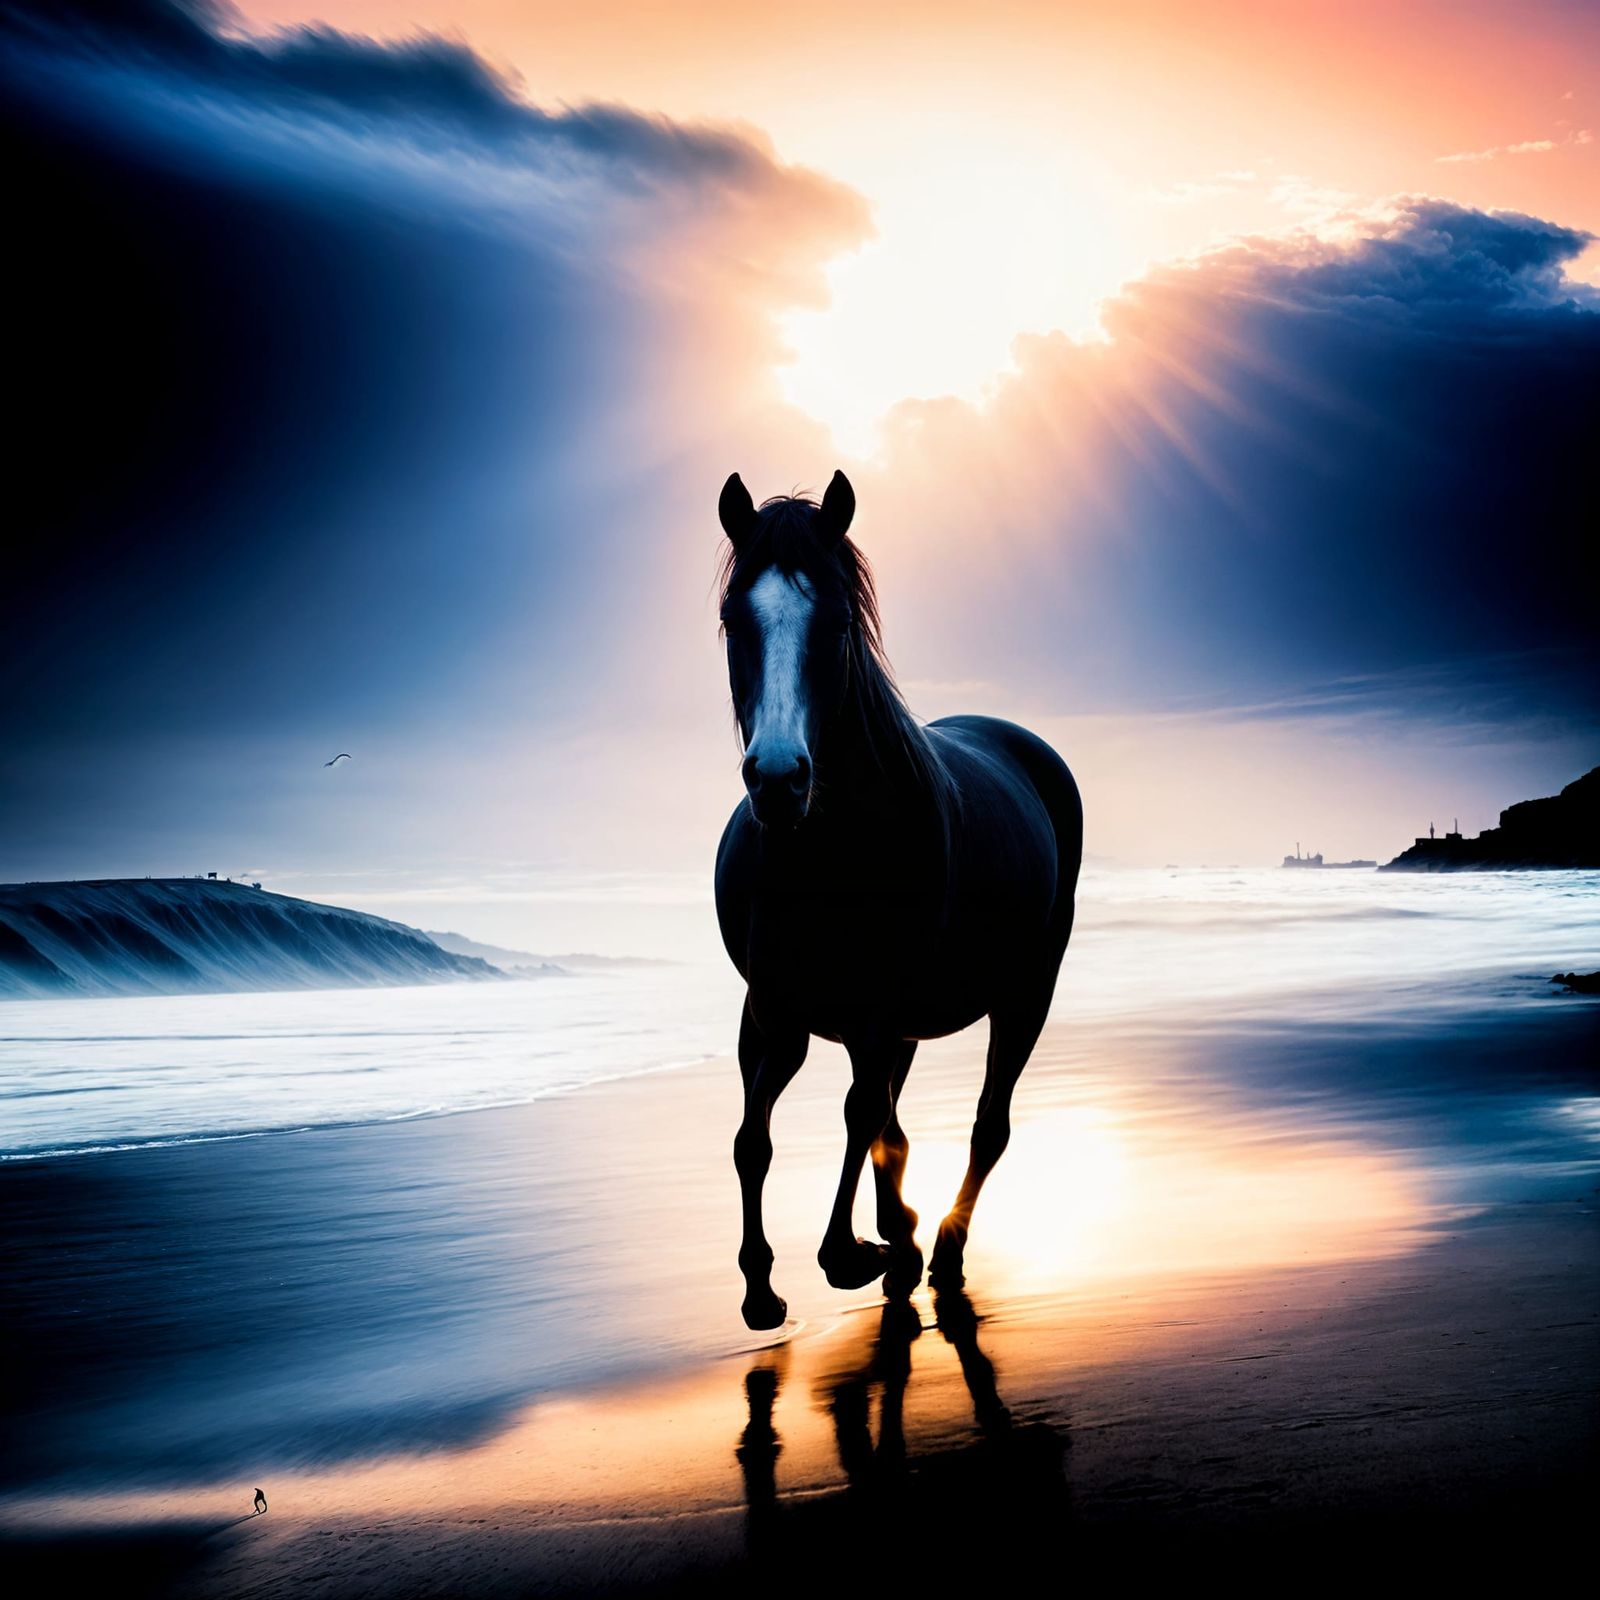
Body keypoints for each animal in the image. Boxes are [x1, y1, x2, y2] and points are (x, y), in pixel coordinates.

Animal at [714, 469, 1083, 1329]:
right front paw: (761, 1285)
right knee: (886, 1119)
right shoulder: (775, 1012)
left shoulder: (877, 1013)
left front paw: (854, 1253)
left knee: (984, 1126)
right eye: (732, 619)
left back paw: (938, 1249)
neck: (820, 854)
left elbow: (863, 1120)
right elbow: (758, 1136)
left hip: (1025, 993)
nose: (777, 779)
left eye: (838, 622)